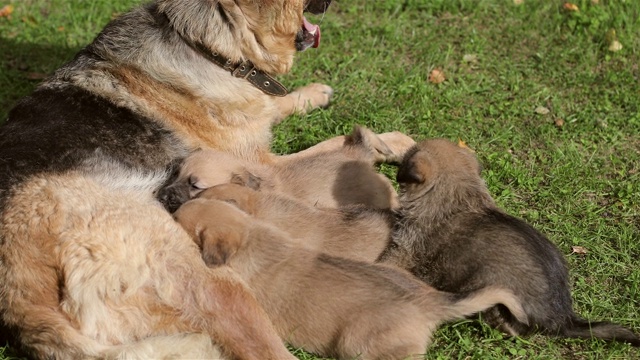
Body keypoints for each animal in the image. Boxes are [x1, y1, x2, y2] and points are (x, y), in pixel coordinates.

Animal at [0, 0, 338, 358]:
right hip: (210, 280)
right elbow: (330, 147)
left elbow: (276, 106)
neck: (208, 47)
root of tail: (21, 301)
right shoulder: (267, 167)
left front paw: (313, 94)